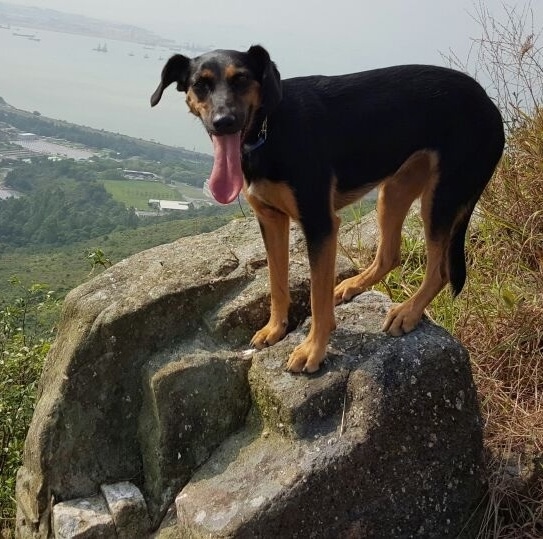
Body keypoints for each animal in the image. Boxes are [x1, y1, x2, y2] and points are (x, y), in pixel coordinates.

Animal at [150, 45, 506, 376]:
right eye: (200, 84)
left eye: (241, 79)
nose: (224, 122)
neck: (270, 126)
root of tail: (490, 104)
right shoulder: (270, 219)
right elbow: (277, 282)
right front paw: (275, 329)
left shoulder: (319, 224)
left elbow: (317, 297)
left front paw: (314, 349)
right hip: (394, 189)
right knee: (390, 254)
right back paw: (354, 284)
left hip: (442, 198)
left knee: (441, 270)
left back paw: (408, 311)